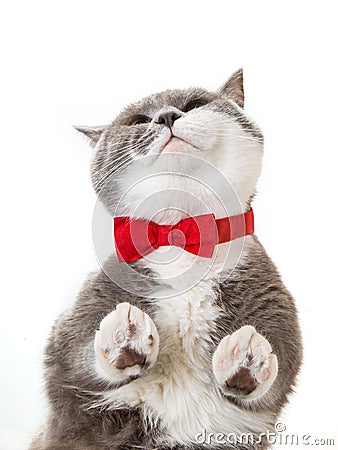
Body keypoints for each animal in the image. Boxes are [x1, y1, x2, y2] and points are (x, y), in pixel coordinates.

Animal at [31, 68, 302, 448]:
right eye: (140, 120)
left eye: (195, 104)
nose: (167, 117)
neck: (182, 233)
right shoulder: (78, 319)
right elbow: (76, 354)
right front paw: (123, 336)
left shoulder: (273, 302)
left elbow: (278, 376)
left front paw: (248, 358)